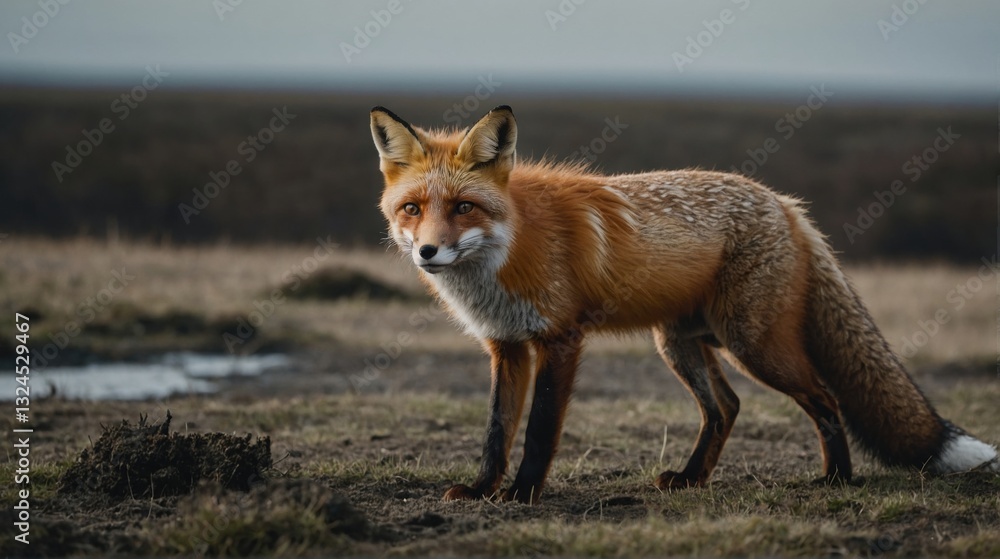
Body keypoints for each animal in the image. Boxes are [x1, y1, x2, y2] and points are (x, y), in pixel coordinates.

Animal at [369, 104, 998, 504]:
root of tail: (785, 204)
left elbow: (539, 429)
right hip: (679, 344)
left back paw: (837, 481)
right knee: (726, 408)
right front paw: (482, 491)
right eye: (412, 209)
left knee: (823, 398)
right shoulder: (506, 346)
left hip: (753, 345)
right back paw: (693, 481)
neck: (510, 248)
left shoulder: (559, 340)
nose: (427, 252)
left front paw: (522, 495)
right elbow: (497, 431)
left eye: (464, 207)